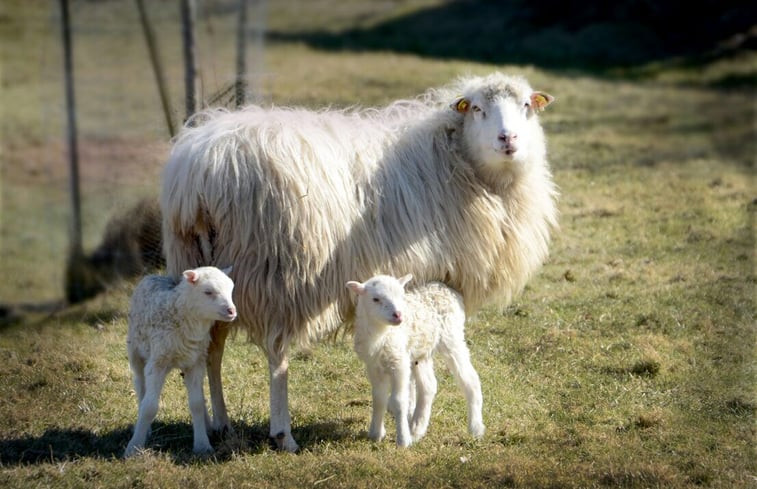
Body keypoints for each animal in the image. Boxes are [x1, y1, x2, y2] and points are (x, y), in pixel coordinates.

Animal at [122, 264, 235, 456]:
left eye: (231, 289)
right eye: (208, 292)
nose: (232, 311)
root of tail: (153, 275)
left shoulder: (196, 362)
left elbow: (197, 404)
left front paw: (202, 445)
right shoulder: (157, 362)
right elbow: (149, 407)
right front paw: (134, 447)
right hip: (136, 350)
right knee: (140, 384)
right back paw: (145, 429)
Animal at [346, 274, 484, 446]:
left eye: (401, 295)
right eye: (375, 299)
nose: (398, 315)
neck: (381, 335)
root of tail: (445, 287)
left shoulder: (400, 364)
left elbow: (399, 401)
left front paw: (403, 441)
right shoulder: (373, 366)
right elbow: (378, 399)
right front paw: (376, 434)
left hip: (451, 337)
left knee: (470, 379)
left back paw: (476, 428)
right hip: (422, 350)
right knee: (429, 385)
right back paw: (417, 429)